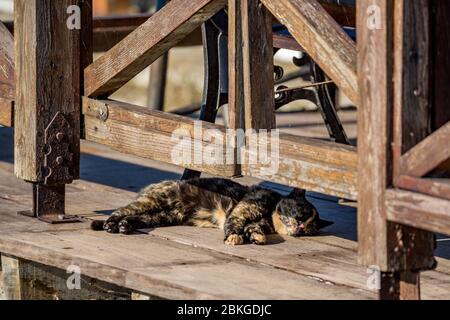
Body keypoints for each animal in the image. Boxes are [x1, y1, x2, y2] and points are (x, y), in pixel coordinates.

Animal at [91, 178, 332, 245]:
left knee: (135, 218)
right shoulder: (242, 211)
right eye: (300, 214)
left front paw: (256, 237)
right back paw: (108, 224)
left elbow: (253, 229)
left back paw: (123, 227)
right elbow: (234, 225)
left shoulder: (254, 221)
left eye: (310, 229)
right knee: (121, 210)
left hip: (161, 216)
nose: (300, 228)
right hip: (153, 202)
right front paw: (234, 238)